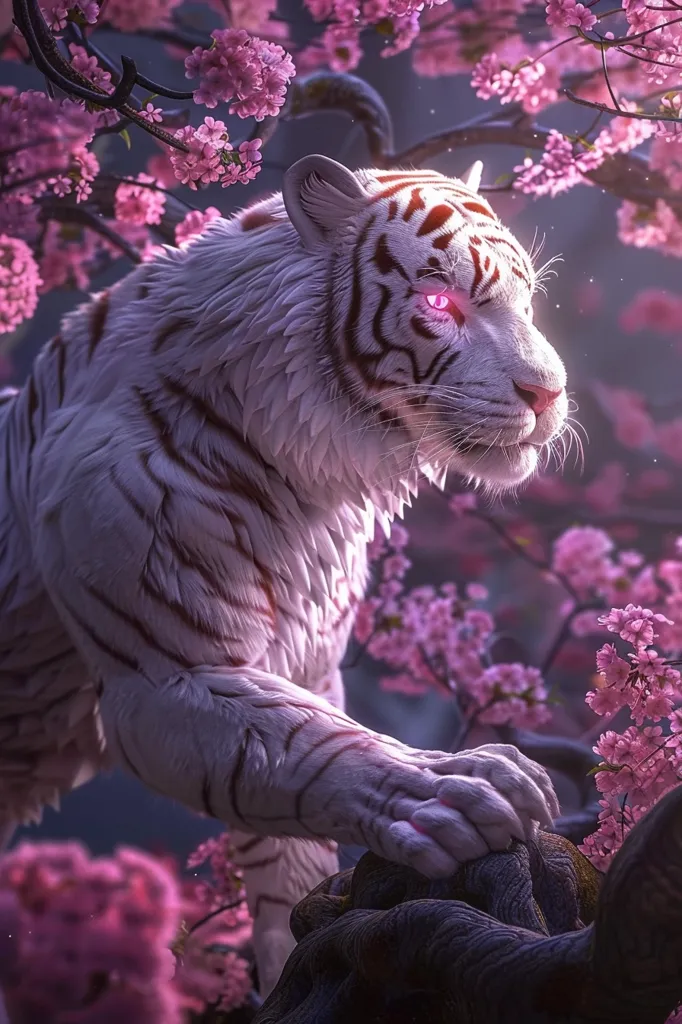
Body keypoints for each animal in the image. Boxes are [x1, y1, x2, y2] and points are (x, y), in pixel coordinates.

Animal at [0, 154, 568, 997]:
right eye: (441, 302)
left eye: (527, 300)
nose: (549, 392)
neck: (303, 471)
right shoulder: (170, 674)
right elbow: (316, 745)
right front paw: (452, 786)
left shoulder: (306, 658)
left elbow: (294, 827)